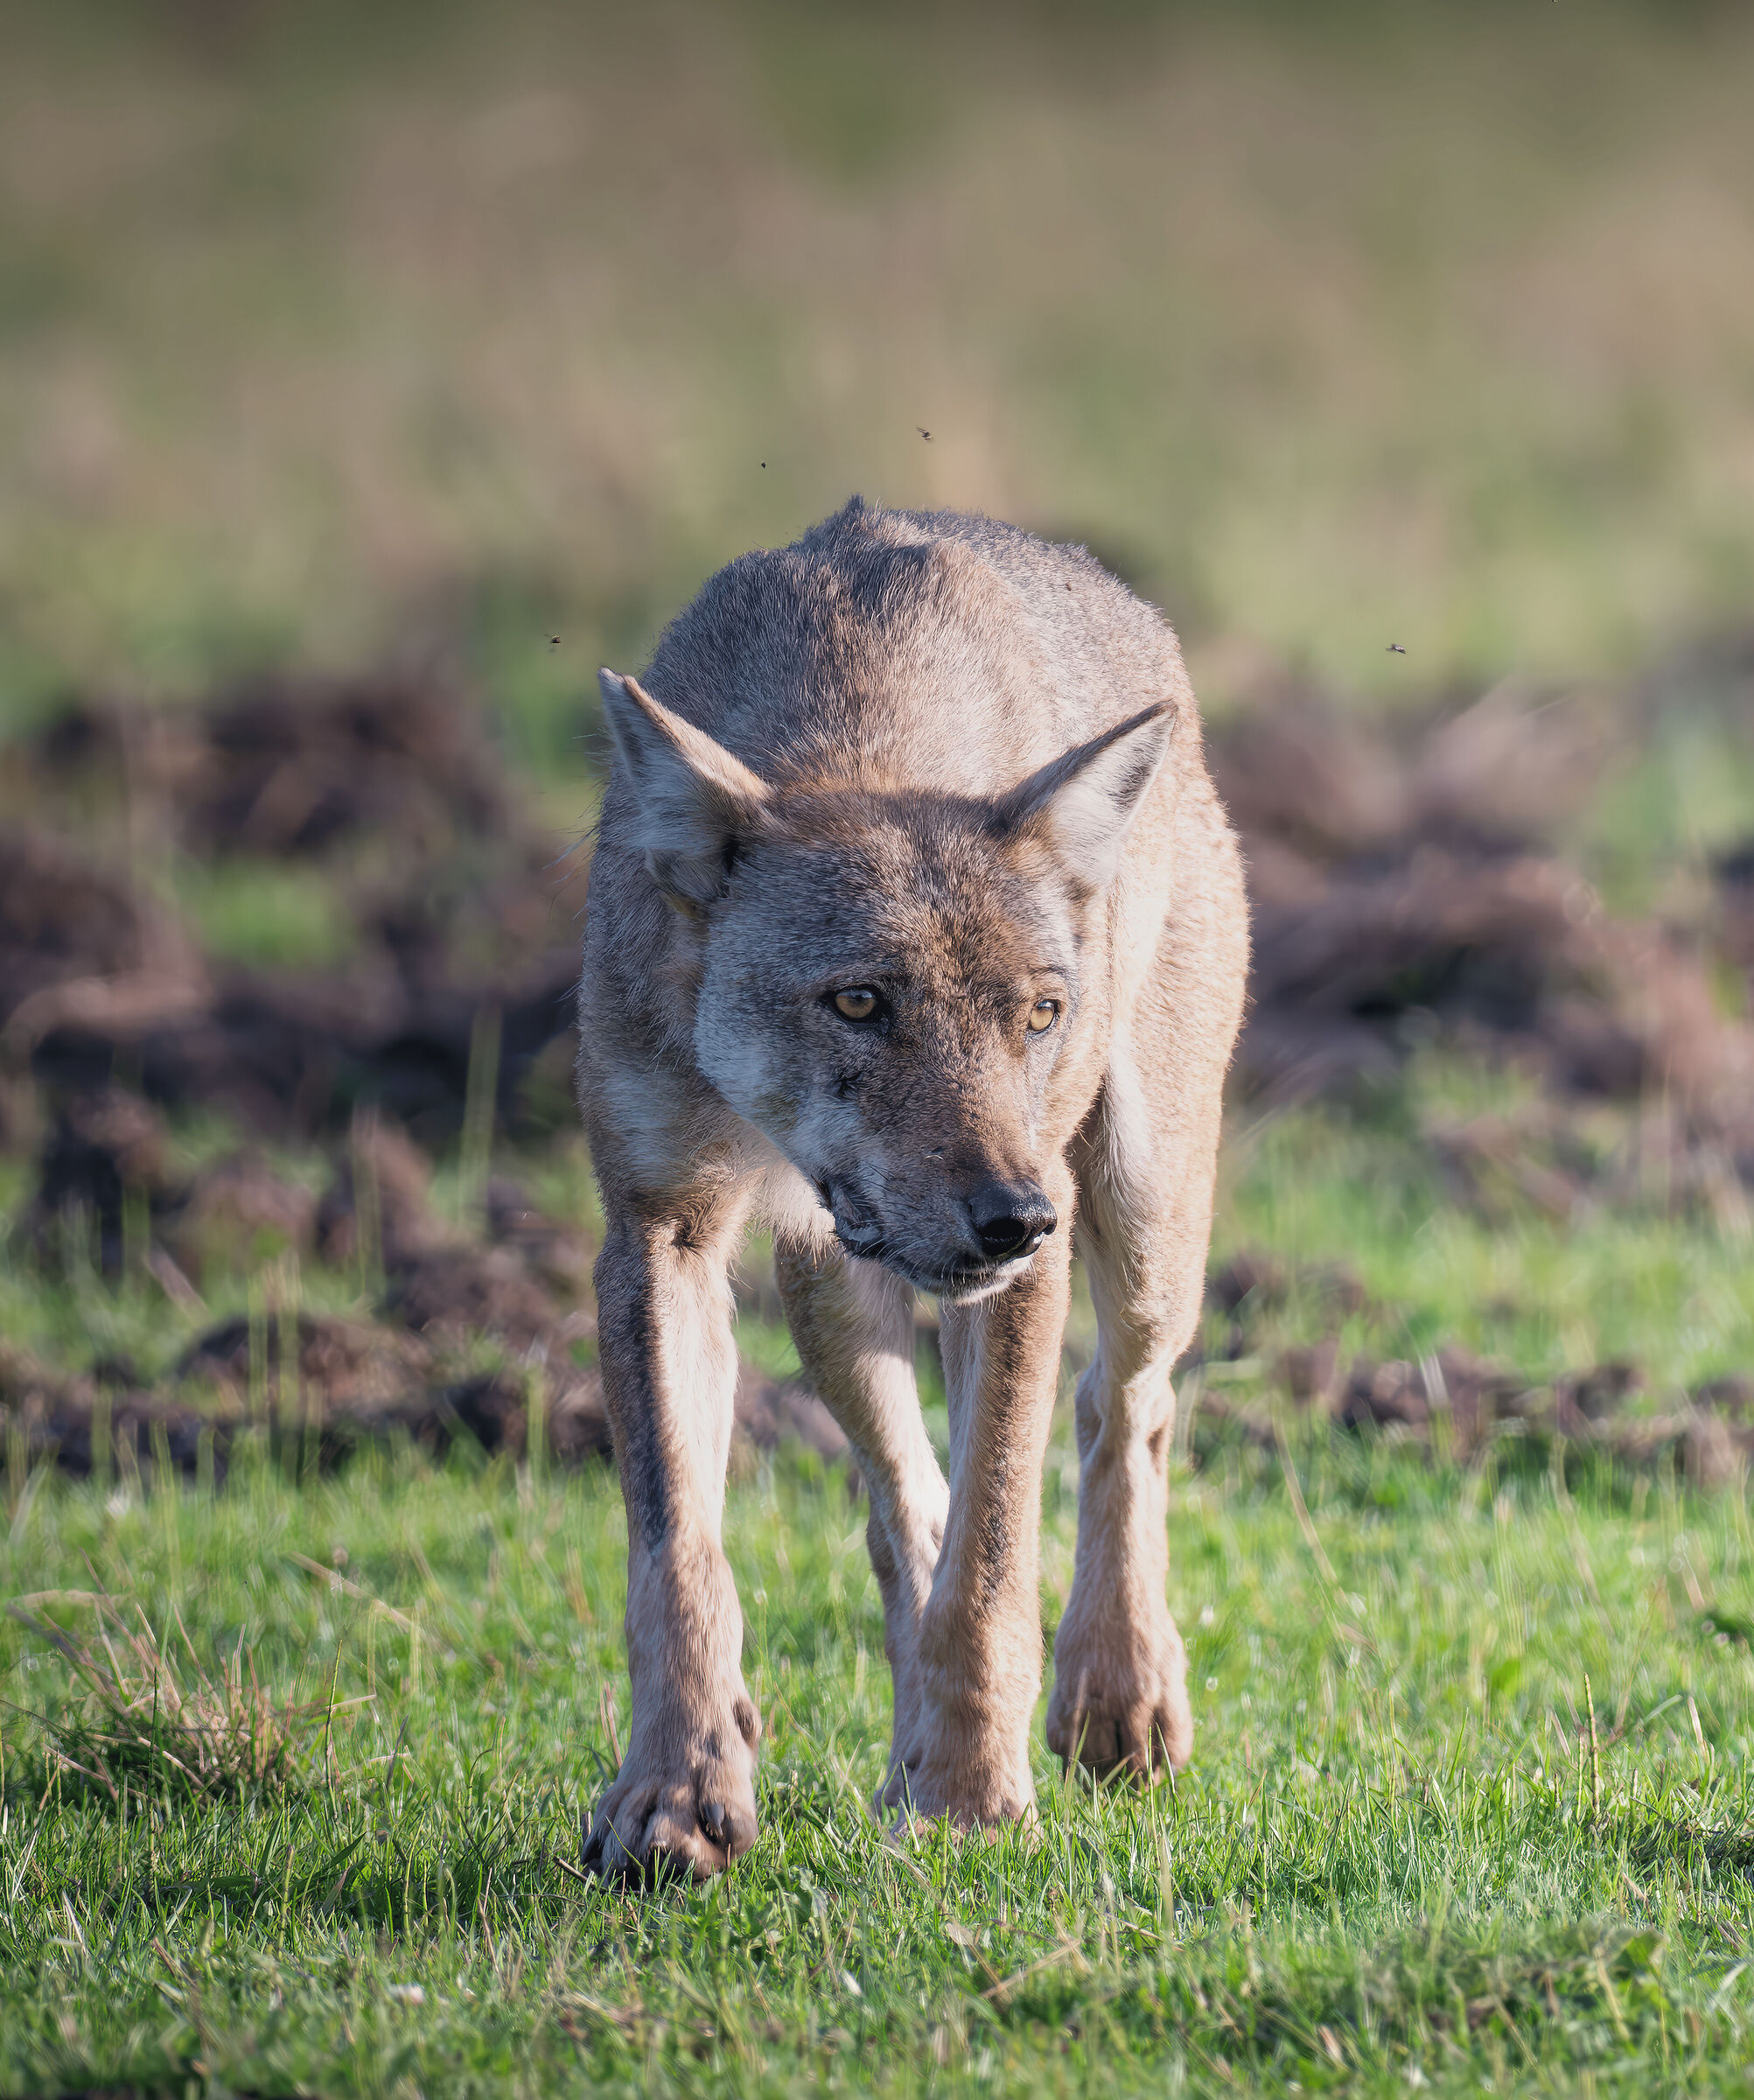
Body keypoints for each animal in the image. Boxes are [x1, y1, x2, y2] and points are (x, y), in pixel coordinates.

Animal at [576, 498, 1248, 1879]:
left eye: (1037, 1013)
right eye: (859, 1002)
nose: (1016, 1218)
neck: (866, 716)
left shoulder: (1026, 1270)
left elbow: (994, 1558)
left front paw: (974, 1796)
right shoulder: (660, 1232)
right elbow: (680, 1550)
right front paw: (675, 1792)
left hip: (1143, 1215)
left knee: (1124, 1409)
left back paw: (1117, 1699)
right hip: (830, 1283)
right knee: (904, 1512)